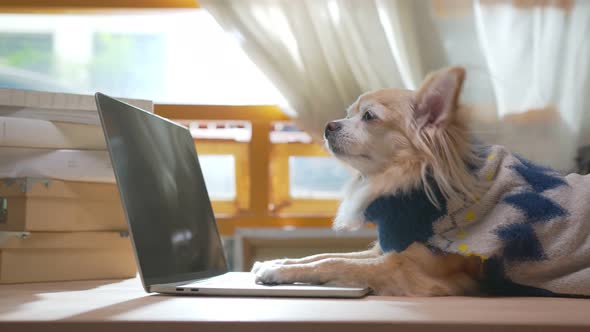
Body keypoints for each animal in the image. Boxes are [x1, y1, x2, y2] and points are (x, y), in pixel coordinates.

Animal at [253, 66, 590, 296]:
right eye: (347, 114)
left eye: (369, 117)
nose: (328, 125)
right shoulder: (386, 248)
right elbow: (323, 254)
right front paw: (278, 264)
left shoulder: (409, 269)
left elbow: (336, 263)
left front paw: (278, 273)